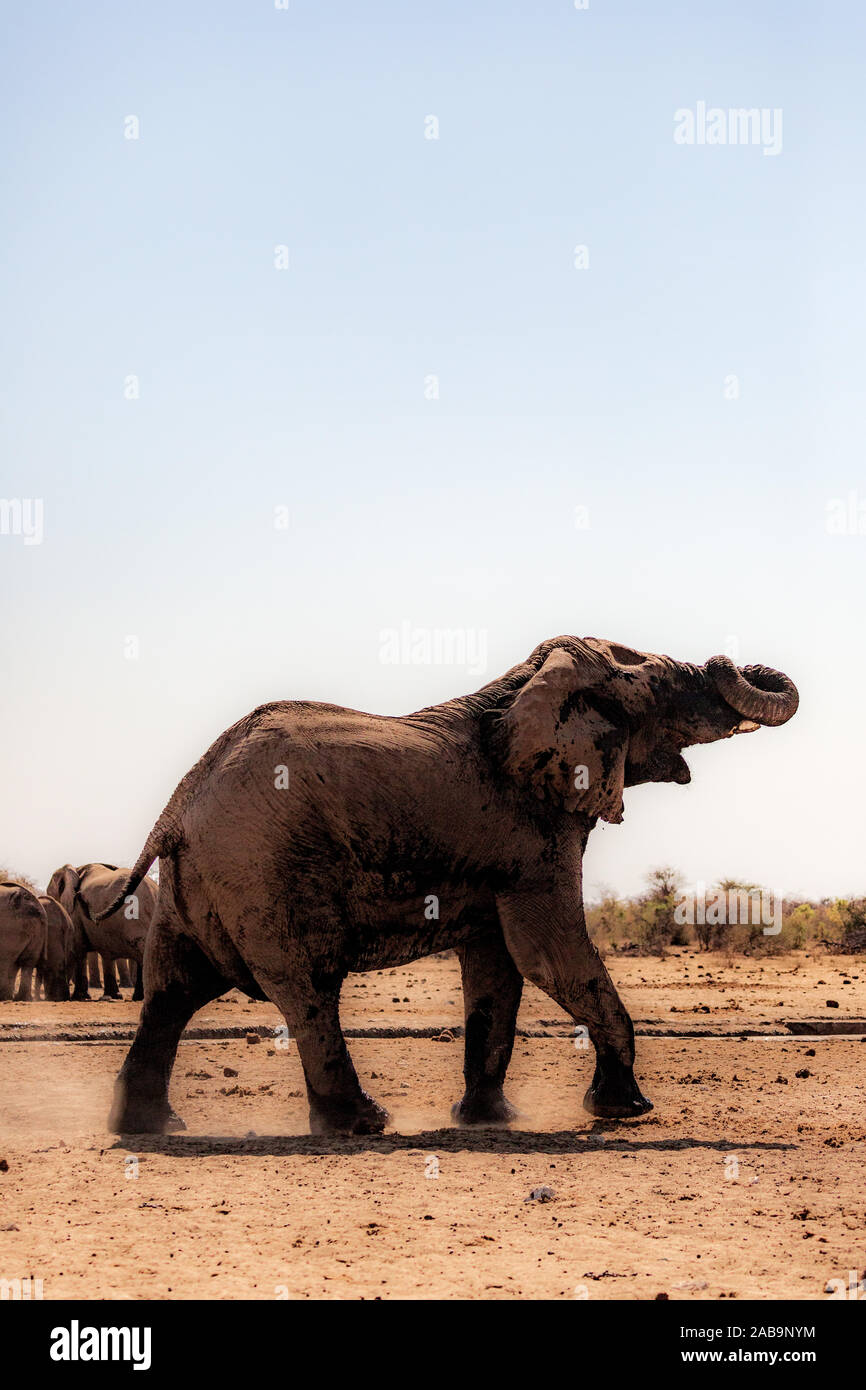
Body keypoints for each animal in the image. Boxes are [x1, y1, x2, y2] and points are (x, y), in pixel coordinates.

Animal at [44, 861, 155, 1006]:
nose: (80, 895)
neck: (76, 869)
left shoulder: (75, 912)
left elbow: (77, 949)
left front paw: (78, 997)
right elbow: (105, 952)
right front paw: (113, 996)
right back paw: (138, 997)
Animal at [101, 636, 800, 1134]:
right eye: (657, 682)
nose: (735, 662)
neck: (527, 684)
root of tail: (181, 802)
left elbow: (499, 971)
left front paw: (491, 1121)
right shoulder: (535, 836)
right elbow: (549, 955)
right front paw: (623, 1112)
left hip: (200, 883)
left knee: (172, 989)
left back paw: (149, 1128)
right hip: (264, 866)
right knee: (308, 985)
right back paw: (362, 1125)